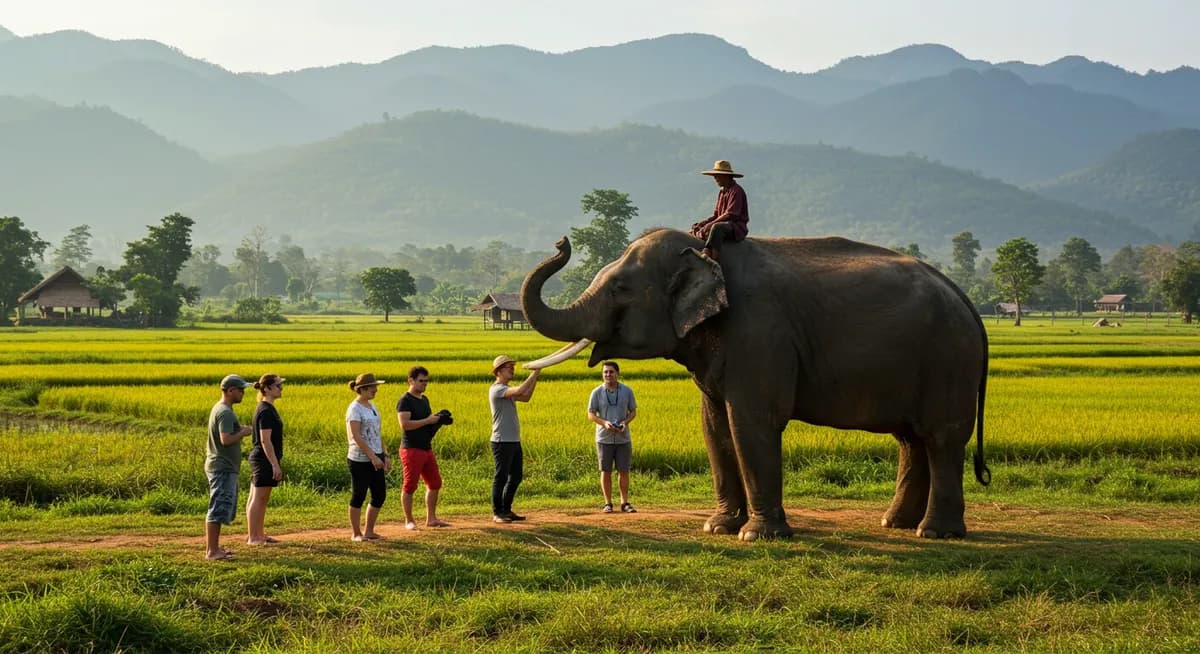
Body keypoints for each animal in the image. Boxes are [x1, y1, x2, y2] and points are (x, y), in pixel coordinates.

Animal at [521, 228, 990, 541]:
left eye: (620, 287)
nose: (561, 242)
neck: (705, 254)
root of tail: (966, 299)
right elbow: (714, 425)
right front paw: (718, 528)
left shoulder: (760, 335)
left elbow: (752, 422)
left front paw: (757, 535)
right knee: (912, 439)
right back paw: (896, 523)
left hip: (949, 360)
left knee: (941, 438)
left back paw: (935, 533)